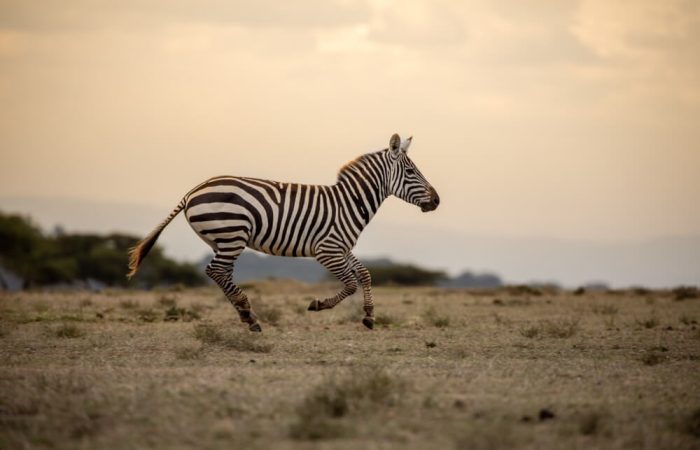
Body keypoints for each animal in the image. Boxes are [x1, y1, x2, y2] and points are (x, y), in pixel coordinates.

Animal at [127, 133, 438, 330]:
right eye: (411, 172)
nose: (436, 201)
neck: (350, 201)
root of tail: (194, 190)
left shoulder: (342, 247)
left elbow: (364, 274)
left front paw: (370, 316)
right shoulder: (326, 250)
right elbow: (350, 283)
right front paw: (318, 305)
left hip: (222, 239)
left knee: (221, 273)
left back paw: (246, 315)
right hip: (233, 234)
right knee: (215, 271)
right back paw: (250, 317)